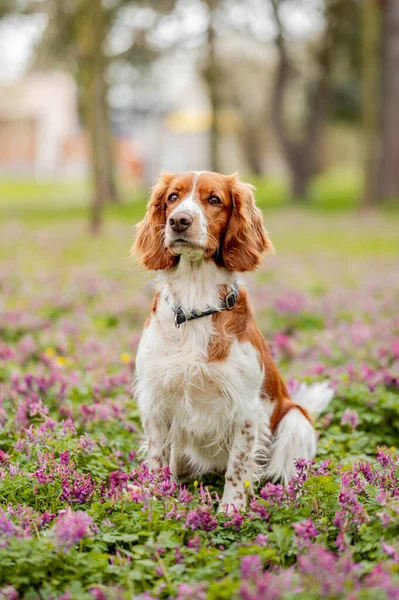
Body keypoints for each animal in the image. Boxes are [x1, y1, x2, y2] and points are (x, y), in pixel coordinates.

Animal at [132, 169, 334, 510]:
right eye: (173, 197)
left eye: (214, 199)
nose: (179, 221)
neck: (196, 302)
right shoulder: (156, 400)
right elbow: (157, 459)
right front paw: (154, 499)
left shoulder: (247, 409)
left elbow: (238, 466)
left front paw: (232, 508)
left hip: (295, 420)